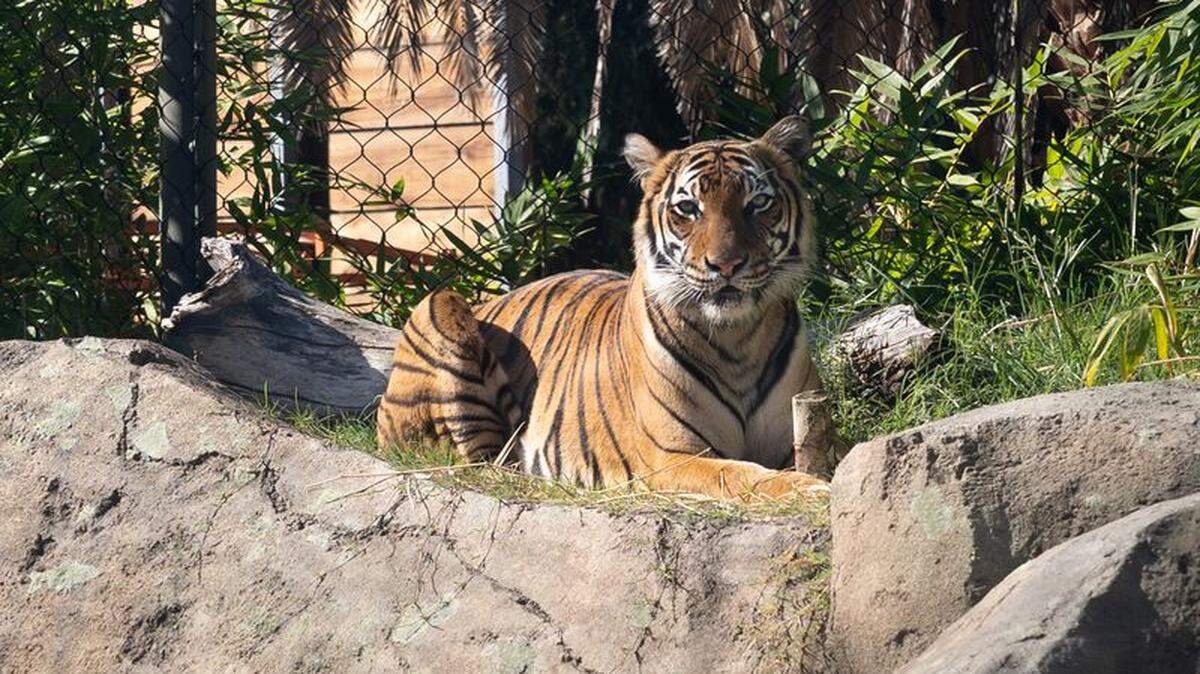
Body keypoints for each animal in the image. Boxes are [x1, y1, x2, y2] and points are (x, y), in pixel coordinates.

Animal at [376, 116, 833, 499]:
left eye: (758, 204)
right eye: (688, 208)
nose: (726, 265)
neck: (737, 337)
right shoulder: (672, 456)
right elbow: (741, 474)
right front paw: (807, 488)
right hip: (439, 305)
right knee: (481, 461)